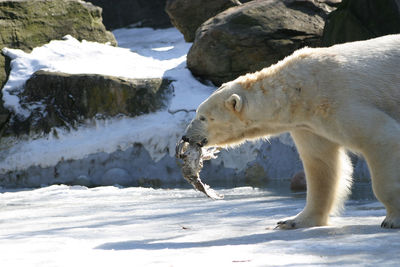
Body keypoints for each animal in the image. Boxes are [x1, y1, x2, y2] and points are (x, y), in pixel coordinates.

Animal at [183, 34, 400, 229]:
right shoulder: (308, 124)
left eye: (202, 117)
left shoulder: (341, 102)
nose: (186, 136)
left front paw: (392, 219)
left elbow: (382, 137)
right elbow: (320, 162)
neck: (300, 89)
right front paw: (293, 221)